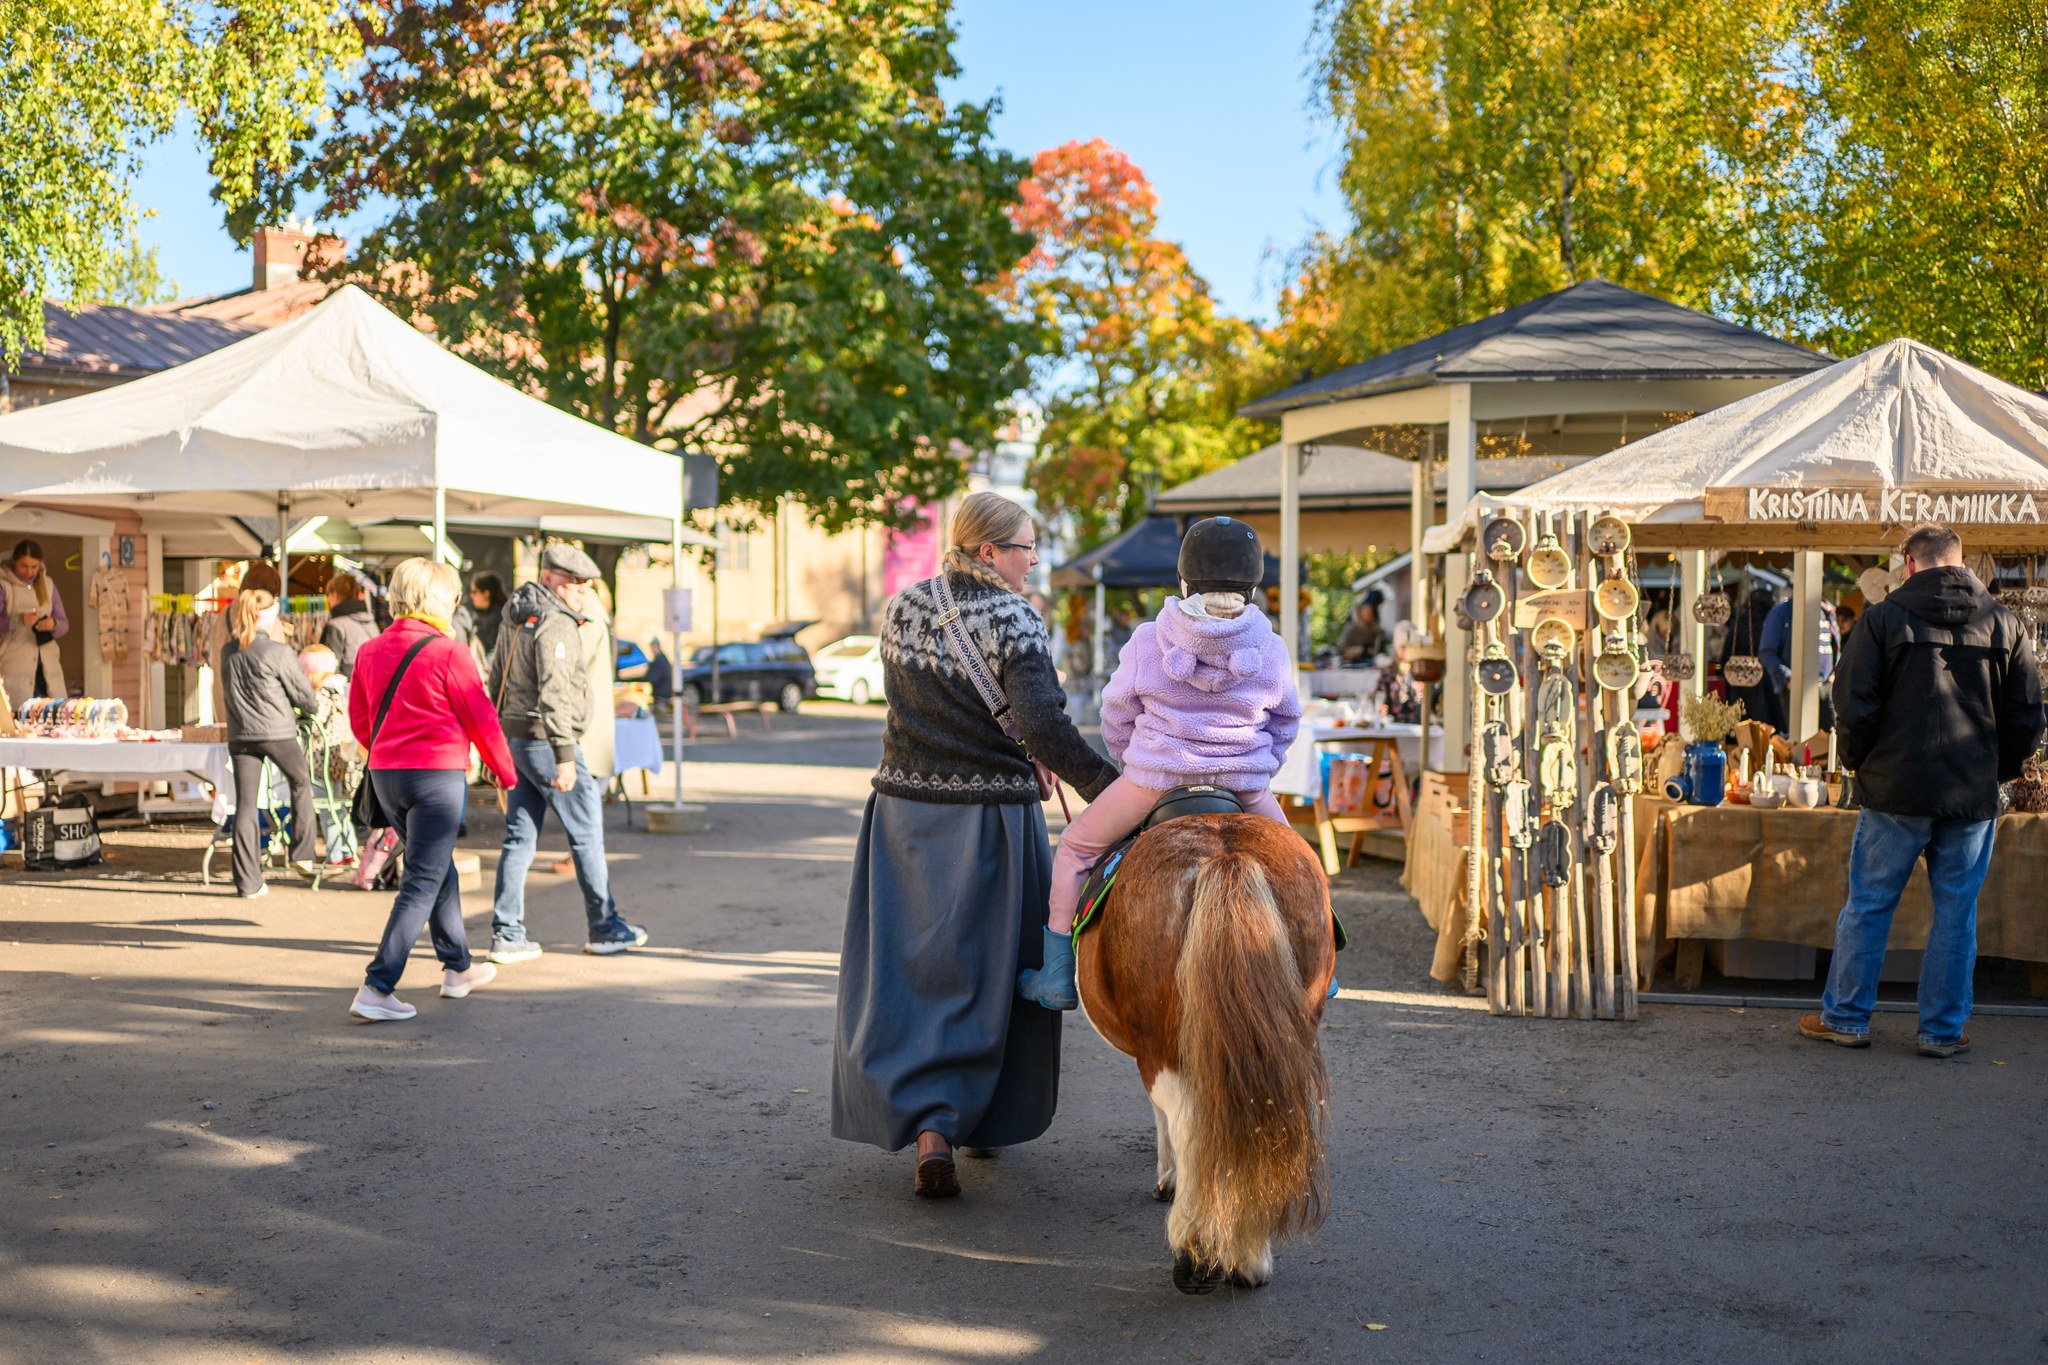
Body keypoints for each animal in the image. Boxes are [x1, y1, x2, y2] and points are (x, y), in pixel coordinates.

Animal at [1073, 818, 1343, 1301]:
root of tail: (1225, 855)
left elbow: (1162, 1120)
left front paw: (1167, 1178)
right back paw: (1250, 1254)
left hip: (1163, 1051)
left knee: (1190, 1124)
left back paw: (1195, 1249)